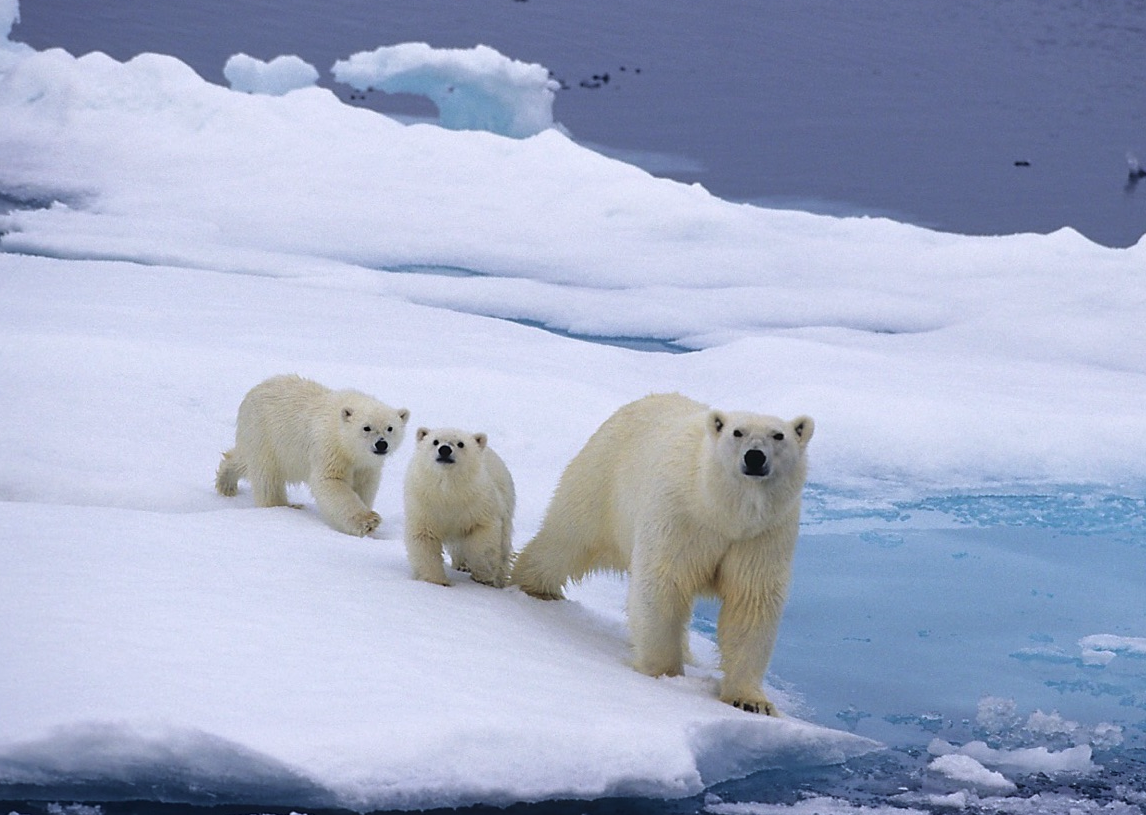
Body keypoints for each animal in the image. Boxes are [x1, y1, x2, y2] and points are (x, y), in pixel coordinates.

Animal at [214, 373, 407, 538]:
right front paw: (368, 521)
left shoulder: (366, 465)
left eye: (390, 428)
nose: (381, 444)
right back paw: (283, 506)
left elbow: (364, 485)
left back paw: (227, 483)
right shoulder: (329, 447)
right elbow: (330, 481)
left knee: (244, 460)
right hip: (264, 434)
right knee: (267, 477)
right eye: (366, 427)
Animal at [401, 426, 513, 586]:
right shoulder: (424, 506)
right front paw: (437, 580)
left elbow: (482, 538)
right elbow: (424, 538)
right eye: (435, 441)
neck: (449, 491)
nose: (445, 450)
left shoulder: (479, 504)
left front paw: (483, 575)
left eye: (461, 444)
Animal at [511, 392, 815, 715]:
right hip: (602, 480)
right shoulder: (681, 516)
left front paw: (751, 701)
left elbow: (751, 600)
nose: (755, 457)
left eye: (778, 435)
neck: (721, 511)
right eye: (737, 432)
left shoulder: (763, 535)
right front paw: (664, 675)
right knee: (566, 539)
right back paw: (535, 587)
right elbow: (663, 583)